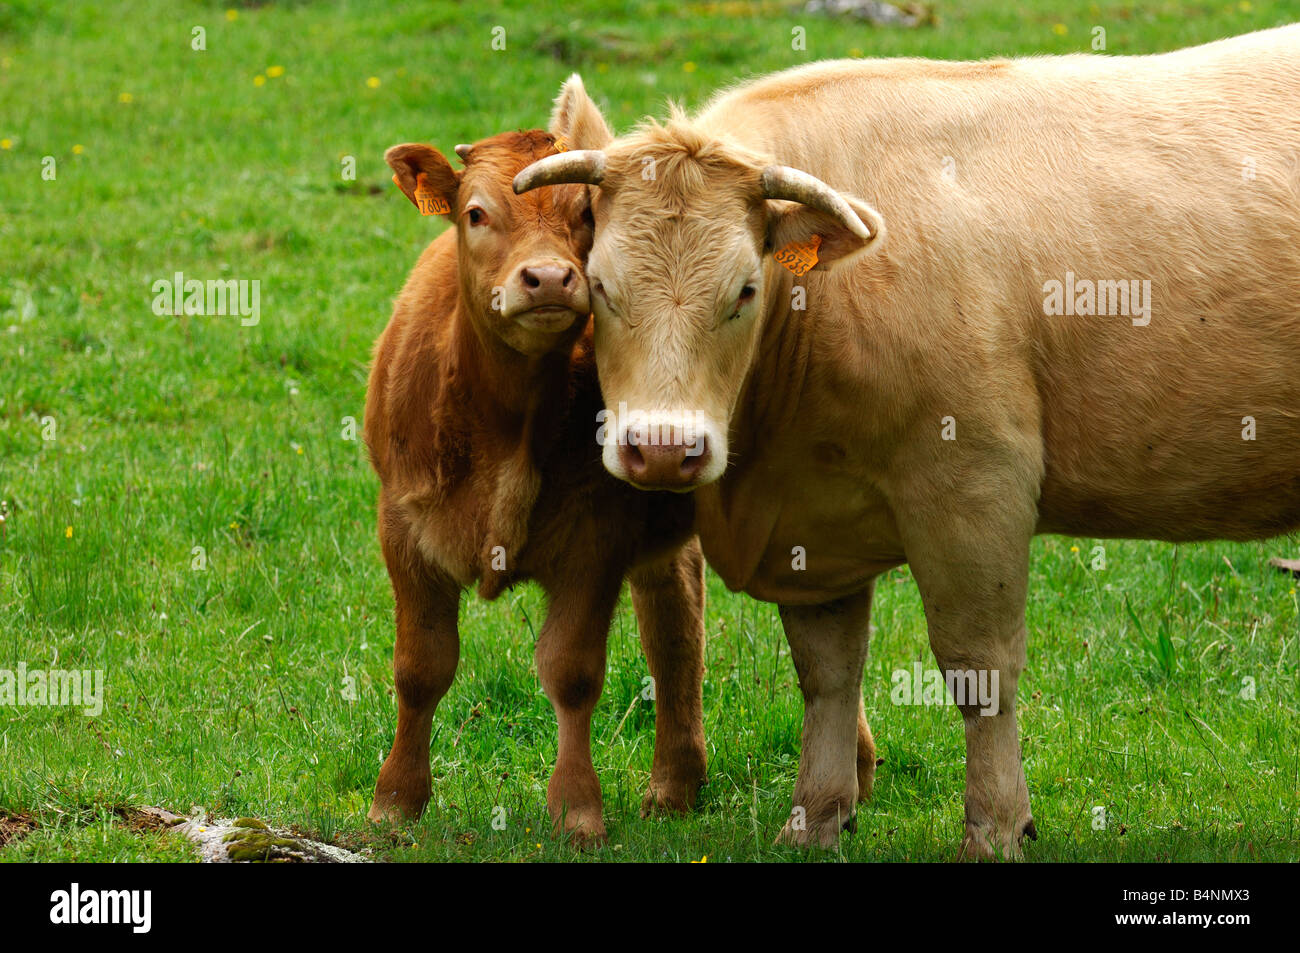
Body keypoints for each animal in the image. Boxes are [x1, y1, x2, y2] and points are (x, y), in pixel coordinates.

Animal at [365, 130, 708, 845]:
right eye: (475, 213)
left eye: (587, 215)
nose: (548, 278)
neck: (503, 422)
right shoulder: (402, 528)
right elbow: (420, 667)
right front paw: (396, 800)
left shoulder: (596, 543)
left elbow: (571, 672)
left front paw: (577, 809)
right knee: (674, 621)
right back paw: (676, 787)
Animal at [514, 25, 1300, 858]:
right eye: (599, 285)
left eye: (745, 290)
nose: (664, 449)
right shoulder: (810, 523)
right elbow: (827, 673)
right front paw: (817, 816)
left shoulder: (975, 486)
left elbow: (978, 668)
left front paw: (995, 824)